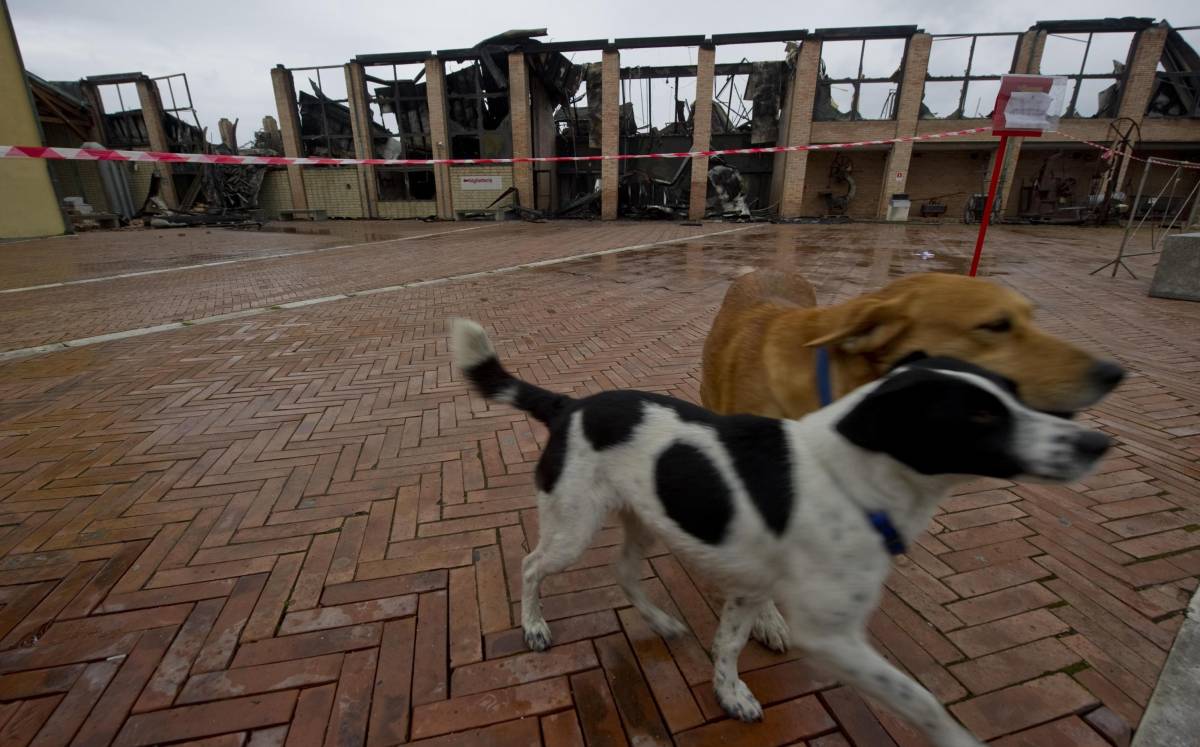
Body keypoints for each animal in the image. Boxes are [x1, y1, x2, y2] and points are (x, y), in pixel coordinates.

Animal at [451, 319, 1113, 747]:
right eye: (979, 416)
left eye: (1016, 396)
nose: (1096, 443)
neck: (852, 477)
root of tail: (569, 405)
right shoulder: (830, 635)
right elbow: (921, 701)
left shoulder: (749, 587)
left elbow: (727, 645)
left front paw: (729, 693)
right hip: (573, 528)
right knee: (531, 566)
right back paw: (534, 626)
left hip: (643, 519)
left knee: (624, 572)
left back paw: (661, 621)